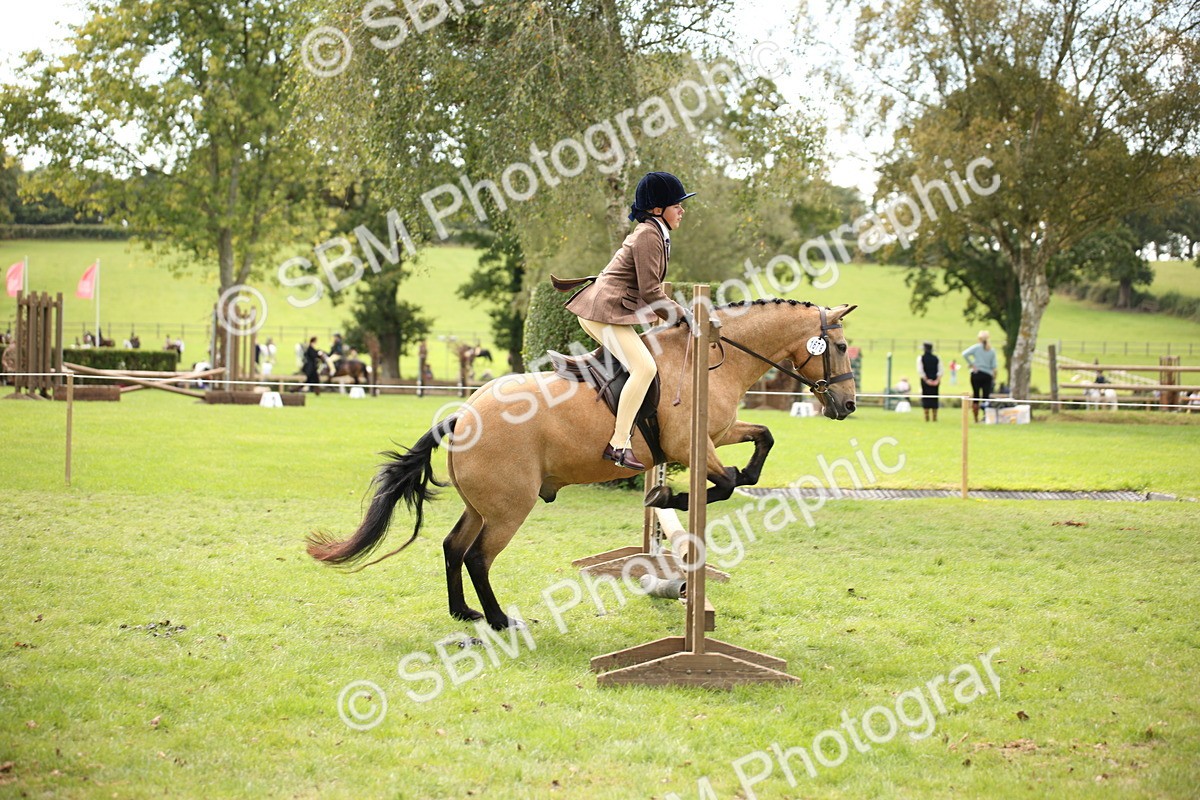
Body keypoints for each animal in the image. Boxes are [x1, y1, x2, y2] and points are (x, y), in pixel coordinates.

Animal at [307, 299, 858, 630]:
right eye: (838, 346)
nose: (849, 405)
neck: (712, 358)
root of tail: (463, 414)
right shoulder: (691, 447)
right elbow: (723, 484)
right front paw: (669, 495)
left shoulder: (718, 434)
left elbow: (762, 440)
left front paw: (716, 482)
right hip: (510, 508)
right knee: (478, 557)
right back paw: (499, 619)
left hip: (483, 505)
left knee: (452, 547)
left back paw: (464, 612)